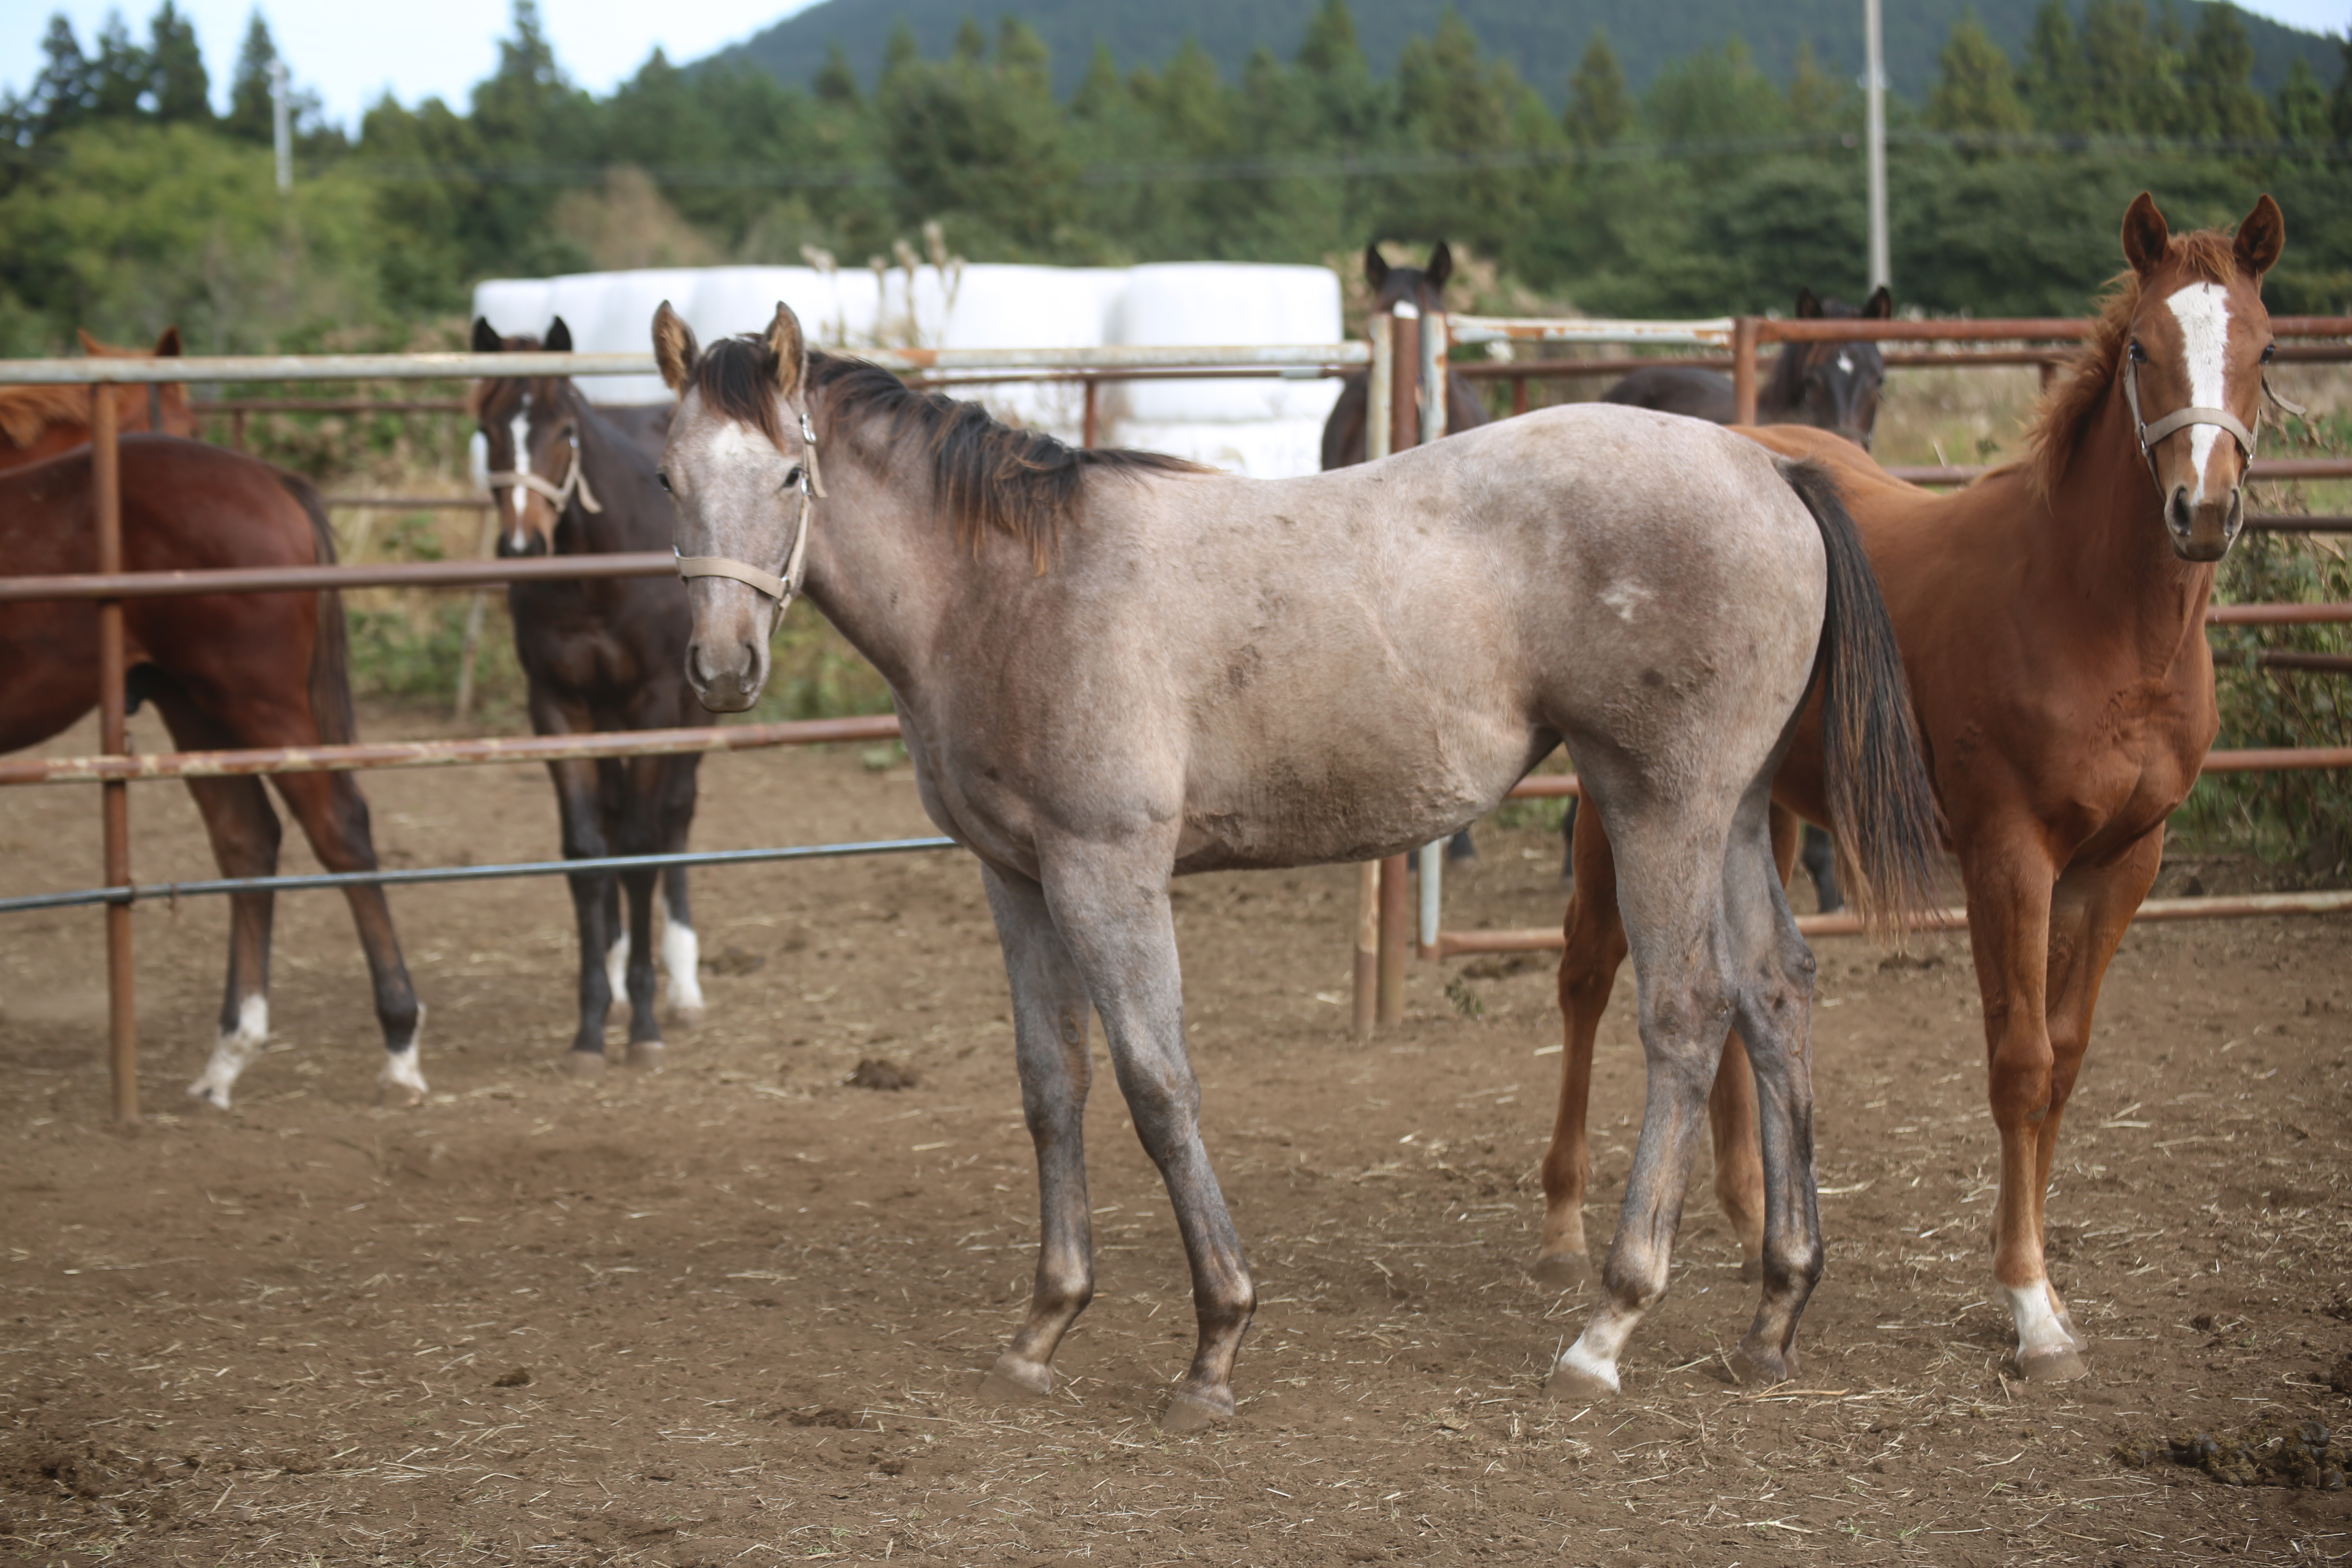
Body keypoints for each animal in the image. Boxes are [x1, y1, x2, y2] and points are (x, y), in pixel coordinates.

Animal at [468, 319, 701, 1081]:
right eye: (486, 429)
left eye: (565, 431)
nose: (520, 545)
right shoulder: (560, 709)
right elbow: (587, 851)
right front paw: (594, 1020)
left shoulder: (655, 703)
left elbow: (640, 846)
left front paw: (648, 1024)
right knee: (615, 811)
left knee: (675, 816)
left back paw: (684, 985)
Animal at [644, 301, 1929, 1429]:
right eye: (666, 479)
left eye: (791, 476)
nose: (720, 665)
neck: (1013, 591)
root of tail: (1771, 469)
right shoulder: (1016, 880)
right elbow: (1051, 1087)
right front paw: (1043, 1326)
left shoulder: (1105, 871)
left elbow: (1156, 1085)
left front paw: (1215, 1342)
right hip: (1734, 813)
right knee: (1774, 995)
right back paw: (1774, 1312)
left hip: (1657, 805)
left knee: (1686, 1015)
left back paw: (1607, 1328)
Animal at [1533, 193, 2286, 1382]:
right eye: (2140, 347)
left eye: (2266, 349)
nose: (2200, 512)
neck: (2092, 613)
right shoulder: (2006, 854)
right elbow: (2018, 1061)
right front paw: (2028, 1306)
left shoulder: (2125, 862)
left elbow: (2064, 1061)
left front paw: (2026, 1279)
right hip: (1633, 809)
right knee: (1585, 975)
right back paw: (1567, 1226)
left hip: (1761, 807)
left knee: (1739, 996)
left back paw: (1747, 1216)